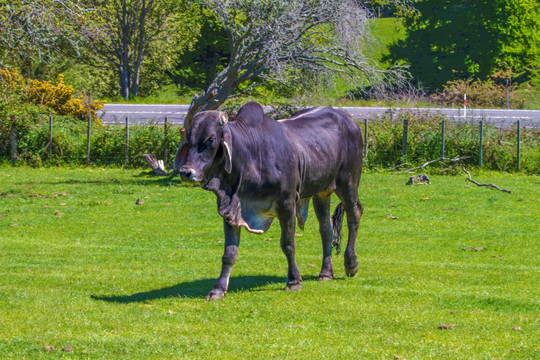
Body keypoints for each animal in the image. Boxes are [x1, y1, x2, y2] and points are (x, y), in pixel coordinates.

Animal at [175, 101, 364, 300]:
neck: (250, 156)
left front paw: (294, 281)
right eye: (189, 139)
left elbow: (288, 244)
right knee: (326, 228)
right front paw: (218, 289)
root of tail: (348, 119)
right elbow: (229, 253)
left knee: (355, 214)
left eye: (210, 139)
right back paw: (326, 272)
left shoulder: (287, 204)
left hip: (348, 183)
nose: (186, 172)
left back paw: (351, 263)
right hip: (321, 192)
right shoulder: (231, 209)